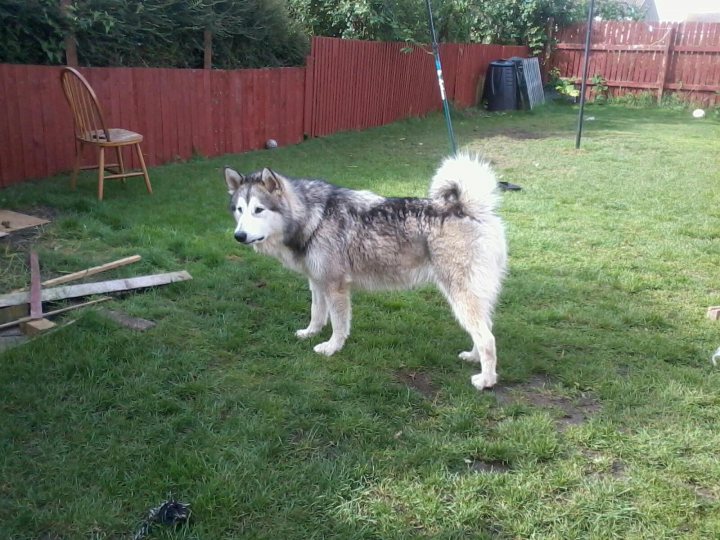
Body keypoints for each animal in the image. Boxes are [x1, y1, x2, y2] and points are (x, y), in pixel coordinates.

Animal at [225, 154, 506, 390]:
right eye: (239, 210)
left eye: (258, 210)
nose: (239, 236)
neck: (313, 218)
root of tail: (468, 209)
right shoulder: (317, 283)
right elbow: (317, 314)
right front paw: (310, 333)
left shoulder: (336, 287)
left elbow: (338, 324)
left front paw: (331, 348)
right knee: (486, 330)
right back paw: (473, 357)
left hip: (461, 297)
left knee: (488, 339)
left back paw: (486, 380)